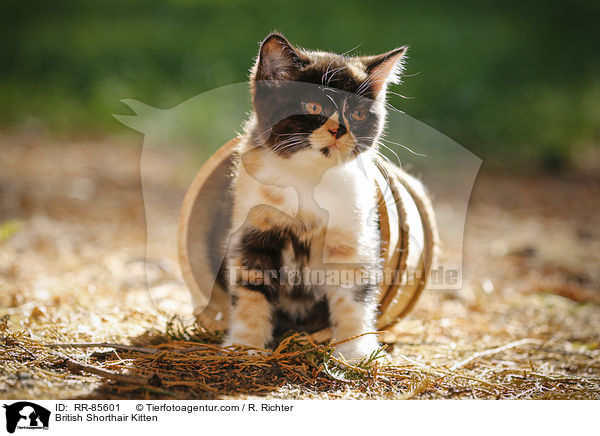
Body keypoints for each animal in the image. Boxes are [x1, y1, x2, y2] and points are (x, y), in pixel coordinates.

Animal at [221, 33, 408, 362]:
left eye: (358, 114)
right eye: (312, 106)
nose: (339, 129)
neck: (308, 179)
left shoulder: (353, 239)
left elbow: (353, 296)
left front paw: (355, 349)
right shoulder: (251, 234)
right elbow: (250, 291)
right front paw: (246, 344)